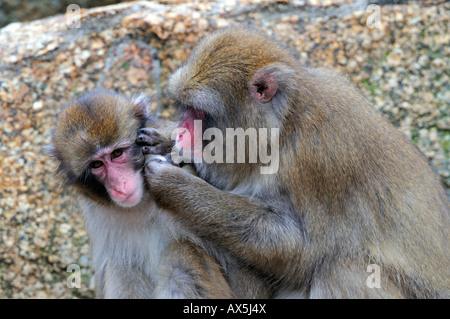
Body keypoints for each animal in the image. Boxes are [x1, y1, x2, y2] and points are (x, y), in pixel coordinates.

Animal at [140, 27, 446, 300]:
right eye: (184, 108)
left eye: (199, 112)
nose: (182, 131)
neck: (284, 127)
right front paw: (164, 140)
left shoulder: (319, 162)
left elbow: (301, 253)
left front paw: (175, 186)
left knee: (343, 270)